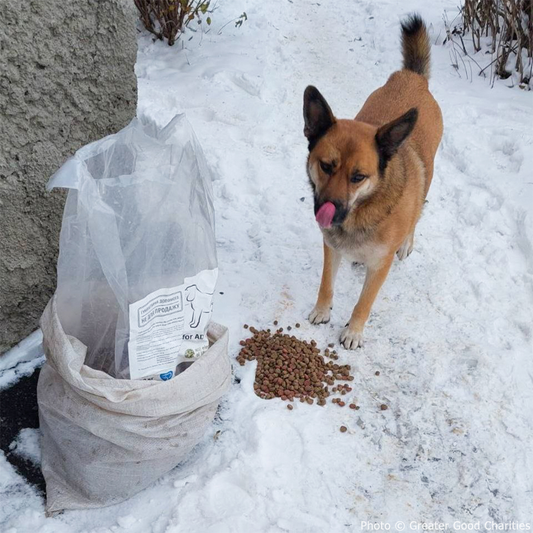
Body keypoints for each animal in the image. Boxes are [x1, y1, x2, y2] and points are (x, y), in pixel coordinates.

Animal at [302, 13, 442, 350]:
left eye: (358, 177)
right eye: (326, 166)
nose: (327, 211)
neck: (363, 209)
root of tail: (411, 76)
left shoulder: (380, 266)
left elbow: (363, 302)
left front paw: (353, 330)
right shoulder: (332, 246)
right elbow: (326, 283)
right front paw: (322, 310)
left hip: (428, 172)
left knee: (419, 209)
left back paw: (406, 242)